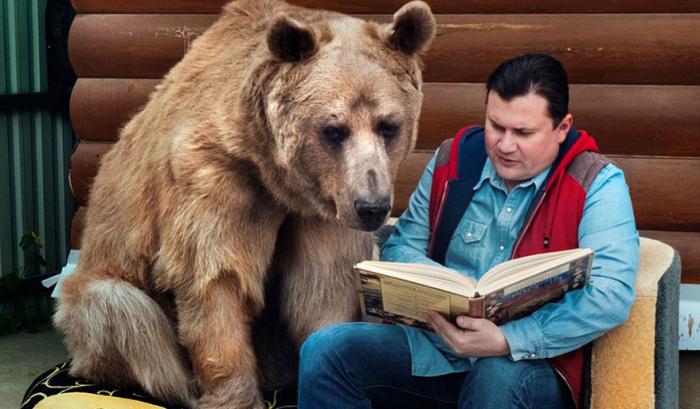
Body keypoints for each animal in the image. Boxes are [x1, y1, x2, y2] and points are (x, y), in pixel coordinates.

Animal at [54, 1, 434, 406]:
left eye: (388, 125)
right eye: (333, 129)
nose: (372, 206)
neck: (274, 175)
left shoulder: (323, 210)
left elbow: (322, 286)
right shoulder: (216, 179)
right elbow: (215, 277)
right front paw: (233, 394)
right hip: (102, 289)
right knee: (126, 315)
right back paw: (182, 388)